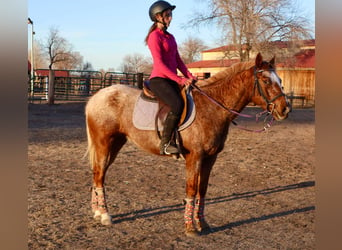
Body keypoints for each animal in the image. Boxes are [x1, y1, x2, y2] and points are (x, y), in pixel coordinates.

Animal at [85, 52, 292, 236]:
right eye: (266, 81)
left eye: (280, 79)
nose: (285, 109)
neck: (212, 108)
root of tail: (96, 97)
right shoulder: (194, 157)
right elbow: (191, 189)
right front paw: (190, 227)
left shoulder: (210, 158)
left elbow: (202, 190)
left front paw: (202, 223)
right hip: (104, 144)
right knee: (100, 175)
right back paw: (105, 215)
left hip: (115, 144)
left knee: (98, 174)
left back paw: (97, 212)